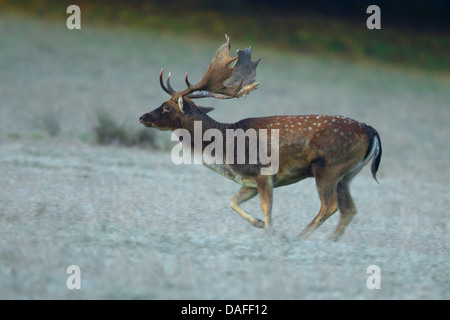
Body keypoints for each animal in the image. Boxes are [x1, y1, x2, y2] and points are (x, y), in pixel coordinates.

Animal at [139, 35, 382, 240]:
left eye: (166, 107)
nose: (142, 117)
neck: (225, 149)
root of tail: (371, 131)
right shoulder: (248, 180)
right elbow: (232, 201)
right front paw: (258, 224)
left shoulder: (263, 172)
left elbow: (267, 207)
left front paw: (270, 231)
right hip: (348, 174)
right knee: (349, 209)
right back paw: (330, 241)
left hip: (328, 167)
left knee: (330, 206)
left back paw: (300, 237)